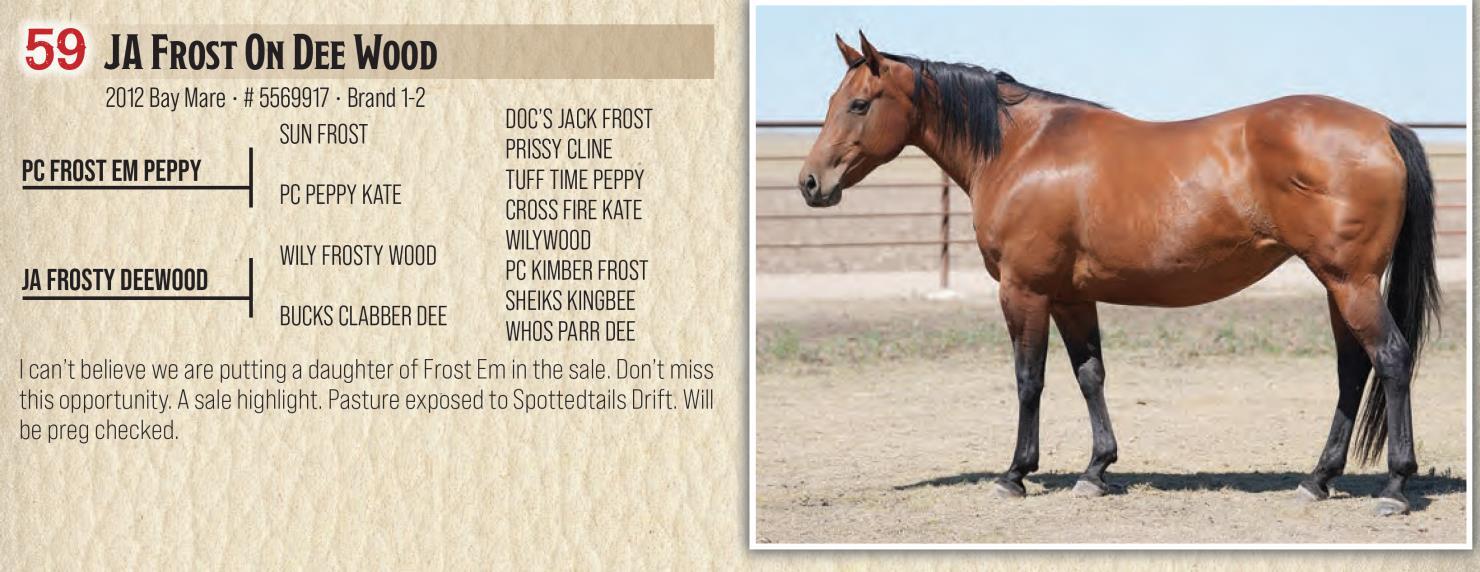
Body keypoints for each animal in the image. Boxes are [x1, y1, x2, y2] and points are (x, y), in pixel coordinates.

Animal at [797, 33, 1439, 516]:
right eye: (833, 100)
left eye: (860, 104)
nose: (809, 183)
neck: (1020, 148)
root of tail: (1385, 128)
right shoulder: (1070, 297)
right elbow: (1090, 376)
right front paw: (1097, 469)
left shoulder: (1024, 291)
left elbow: (1029, 379)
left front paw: (1014, 474)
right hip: (1337, 284)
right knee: (1353, 369)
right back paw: (1317, 479)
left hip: (1351, 283)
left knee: (1390, 358)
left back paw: (1394, 486)